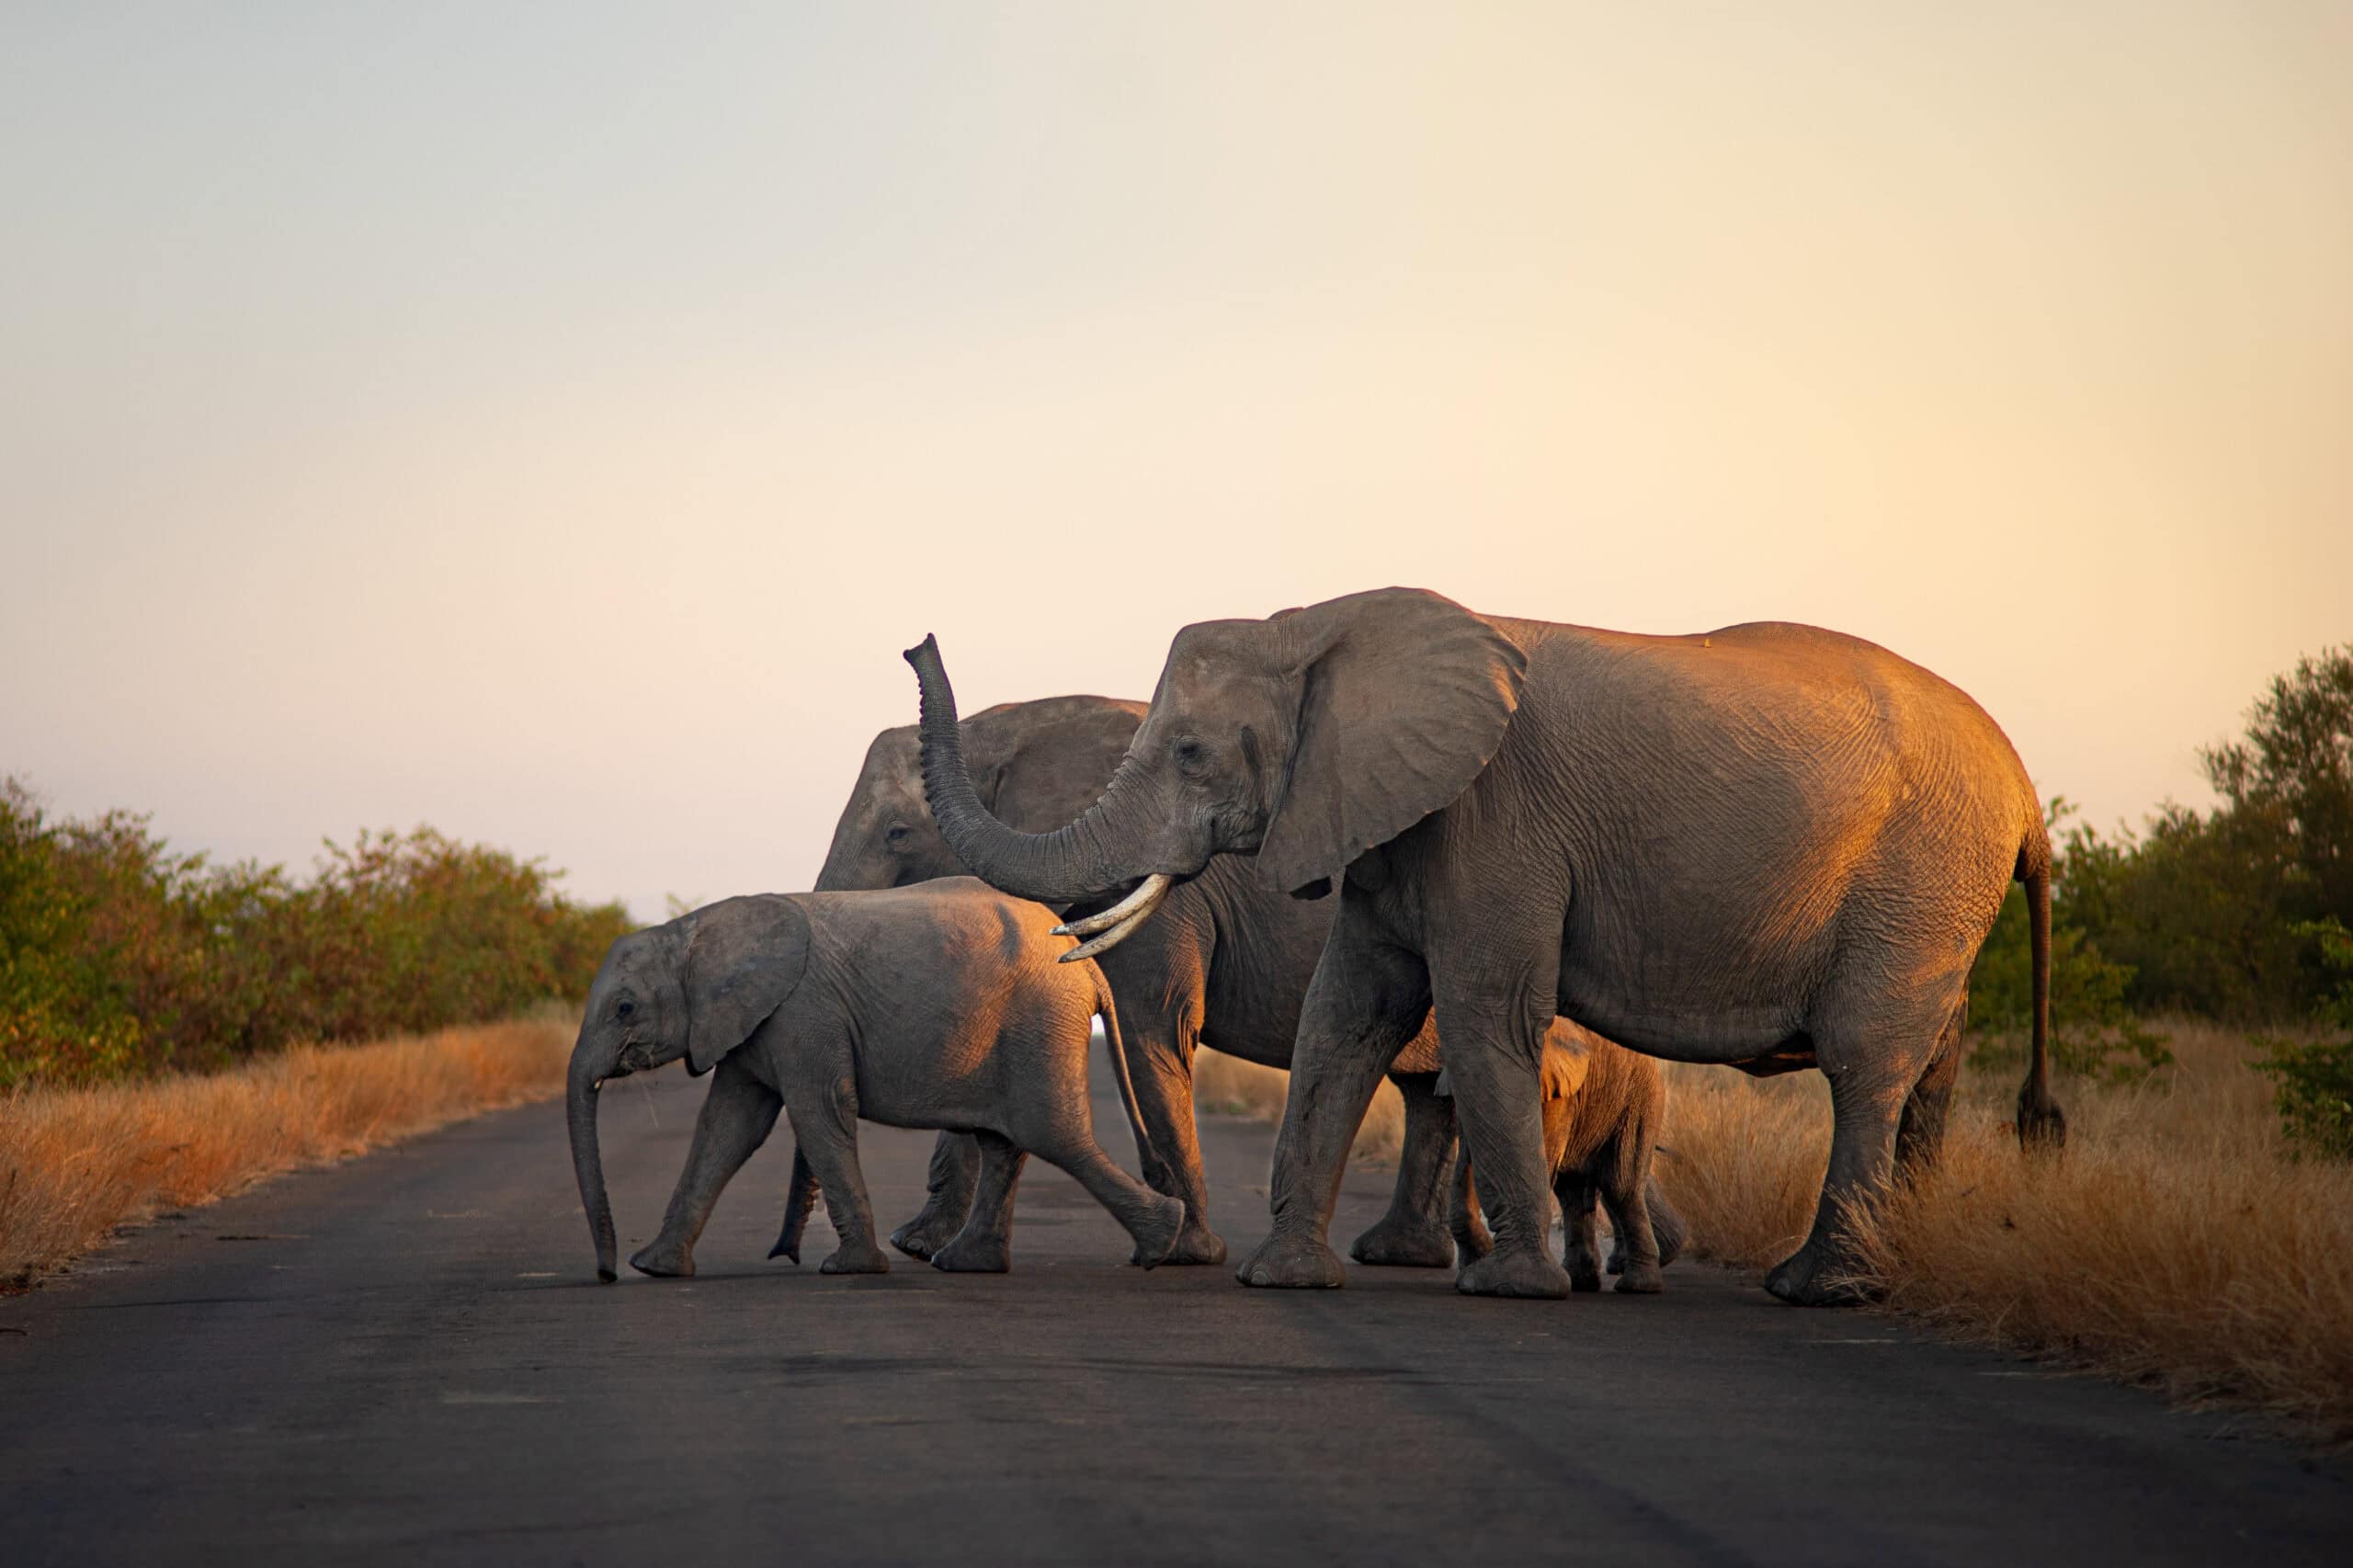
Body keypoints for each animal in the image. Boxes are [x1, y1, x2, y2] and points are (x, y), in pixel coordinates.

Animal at [564, 881, 1187, 1283]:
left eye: (624, 1008)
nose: (605, 1274)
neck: (694, 929)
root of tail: (1087, 963)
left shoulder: (803, 1014)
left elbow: (816, 1113)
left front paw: (848, 1270)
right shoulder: (751, 1024)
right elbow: (728, 1127)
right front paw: (655, 1268)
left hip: (1041, 1019)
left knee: (1053, 1136)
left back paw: (1162, 1243)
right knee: (1007, 1143)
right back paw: (966, 1264)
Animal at [798, 694, 1460, 1271]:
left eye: (898, 833)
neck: (999, 730)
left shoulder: (1167, 890)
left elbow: (1153, 1031)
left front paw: (1183, 1254)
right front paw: (920, 1247)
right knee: (1429, 1090)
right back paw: (1405, 1254)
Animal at [1446, 1020, 1687, 1294]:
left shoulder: (1558, 1090)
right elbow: (1470, 1155)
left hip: (1640, 1100)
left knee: (1620, 1187)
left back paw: (1637, 1286)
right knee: (1573, 1193)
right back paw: (1582, 1282)